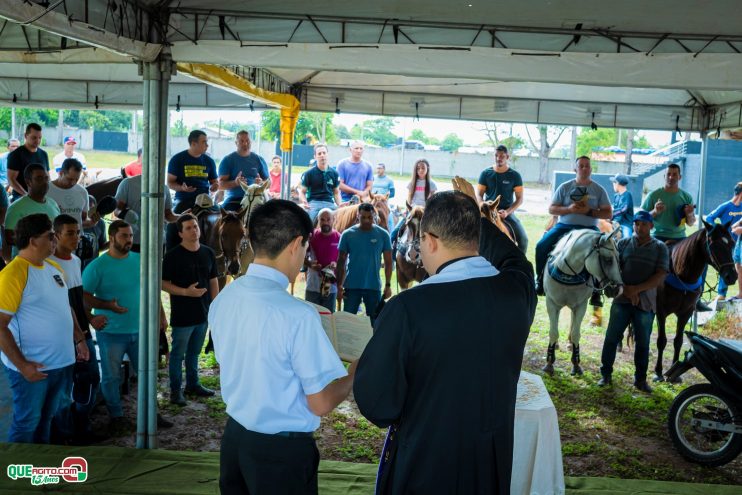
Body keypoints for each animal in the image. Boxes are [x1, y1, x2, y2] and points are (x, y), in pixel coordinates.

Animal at [544, 229, 624, 376]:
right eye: (608, 259)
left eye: (618, 258)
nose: (617, 289)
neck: (568, 273)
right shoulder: (551, 303)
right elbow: (553, 332)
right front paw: (549, 363)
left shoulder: (581, 306)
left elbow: (576, 334)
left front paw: (576, 364)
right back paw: (557, 344)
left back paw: (569, 343)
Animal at [656, 222, 740, 384]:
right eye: (714, 245)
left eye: (732, 243)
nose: (732, 276)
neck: (682, 275)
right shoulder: (660, 311)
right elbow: (661, 341)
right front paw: (658, 372)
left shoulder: (686, 312)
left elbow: (678, 341)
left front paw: (674, 372)